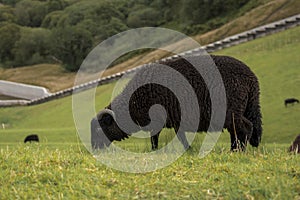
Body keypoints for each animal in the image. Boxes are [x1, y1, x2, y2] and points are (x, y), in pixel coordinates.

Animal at [92, 54, 262, 150]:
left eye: (100, 129)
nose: (95, 150)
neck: (134, 102)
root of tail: (251, 78)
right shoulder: (174, 120)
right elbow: (175, 137)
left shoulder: (160, 120)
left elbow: (157, 138)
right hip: (245, 107)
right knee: (238, 131)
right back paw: (235, 149)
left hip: (232, 110)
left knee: (246, 128)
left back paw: (238, 151)